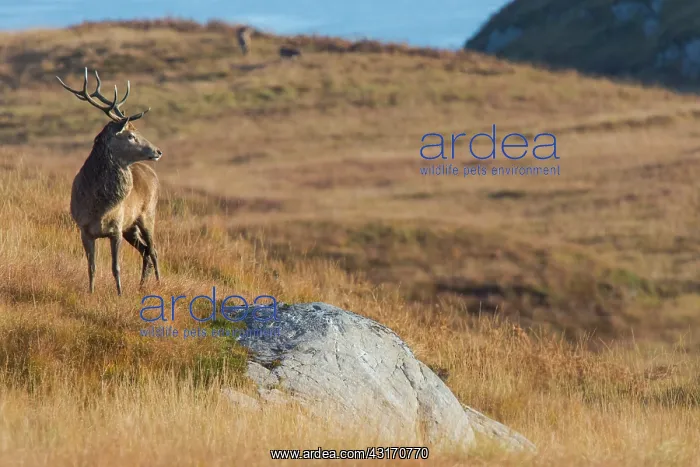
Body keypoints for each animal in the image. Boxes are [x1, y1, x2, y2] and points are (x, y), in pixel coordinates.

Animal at [56, 68, 162, 296]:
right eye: (131, 135)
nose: (158, 151)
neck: (100, 207)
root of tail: (153, 174)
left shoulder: (116, 229)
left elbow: (116, 267)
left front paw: (120, 294)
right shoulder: (84, 229)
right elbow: (92, 266)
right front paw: (91, 292)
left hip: (147, 214)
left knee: (154, 249)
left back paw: (158, 284)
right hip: (131, 227)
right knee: (145, 251)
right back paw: (142, 285)